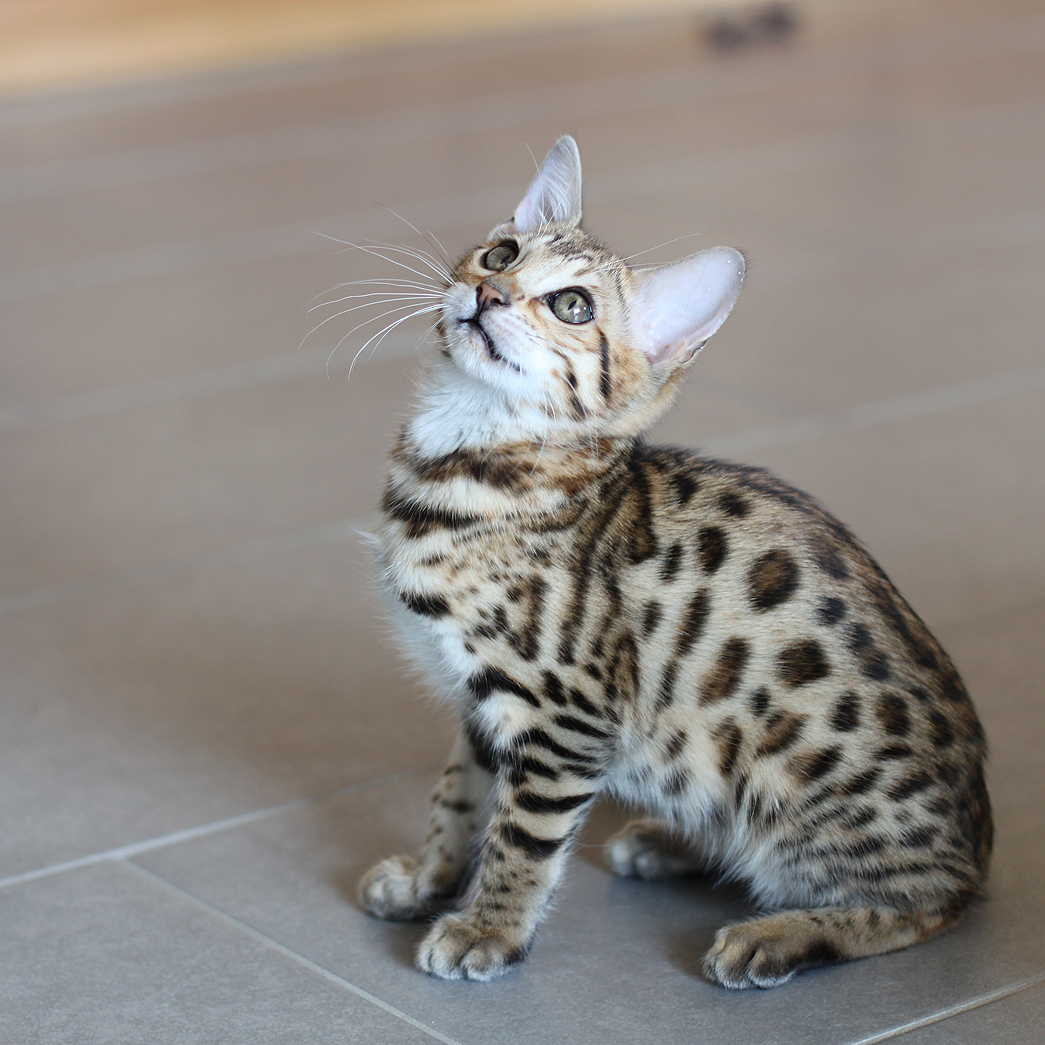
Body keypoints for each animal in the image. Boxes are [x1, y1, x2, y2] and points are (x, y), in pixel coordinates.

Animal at [357, 134, 986, 982]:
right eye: (501, 252)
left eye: (571, 305)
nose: (488, 291)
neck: (465, 463)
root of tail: (979, 838)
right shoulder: (479, 703)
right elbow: (458, 797)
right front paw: (429, 879)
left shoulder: (564, 714)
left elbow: (521, 835)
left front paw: (487, 928)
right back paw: (671, 845)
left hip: (791, 779)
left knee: (928, 900)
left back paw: (778, 933)